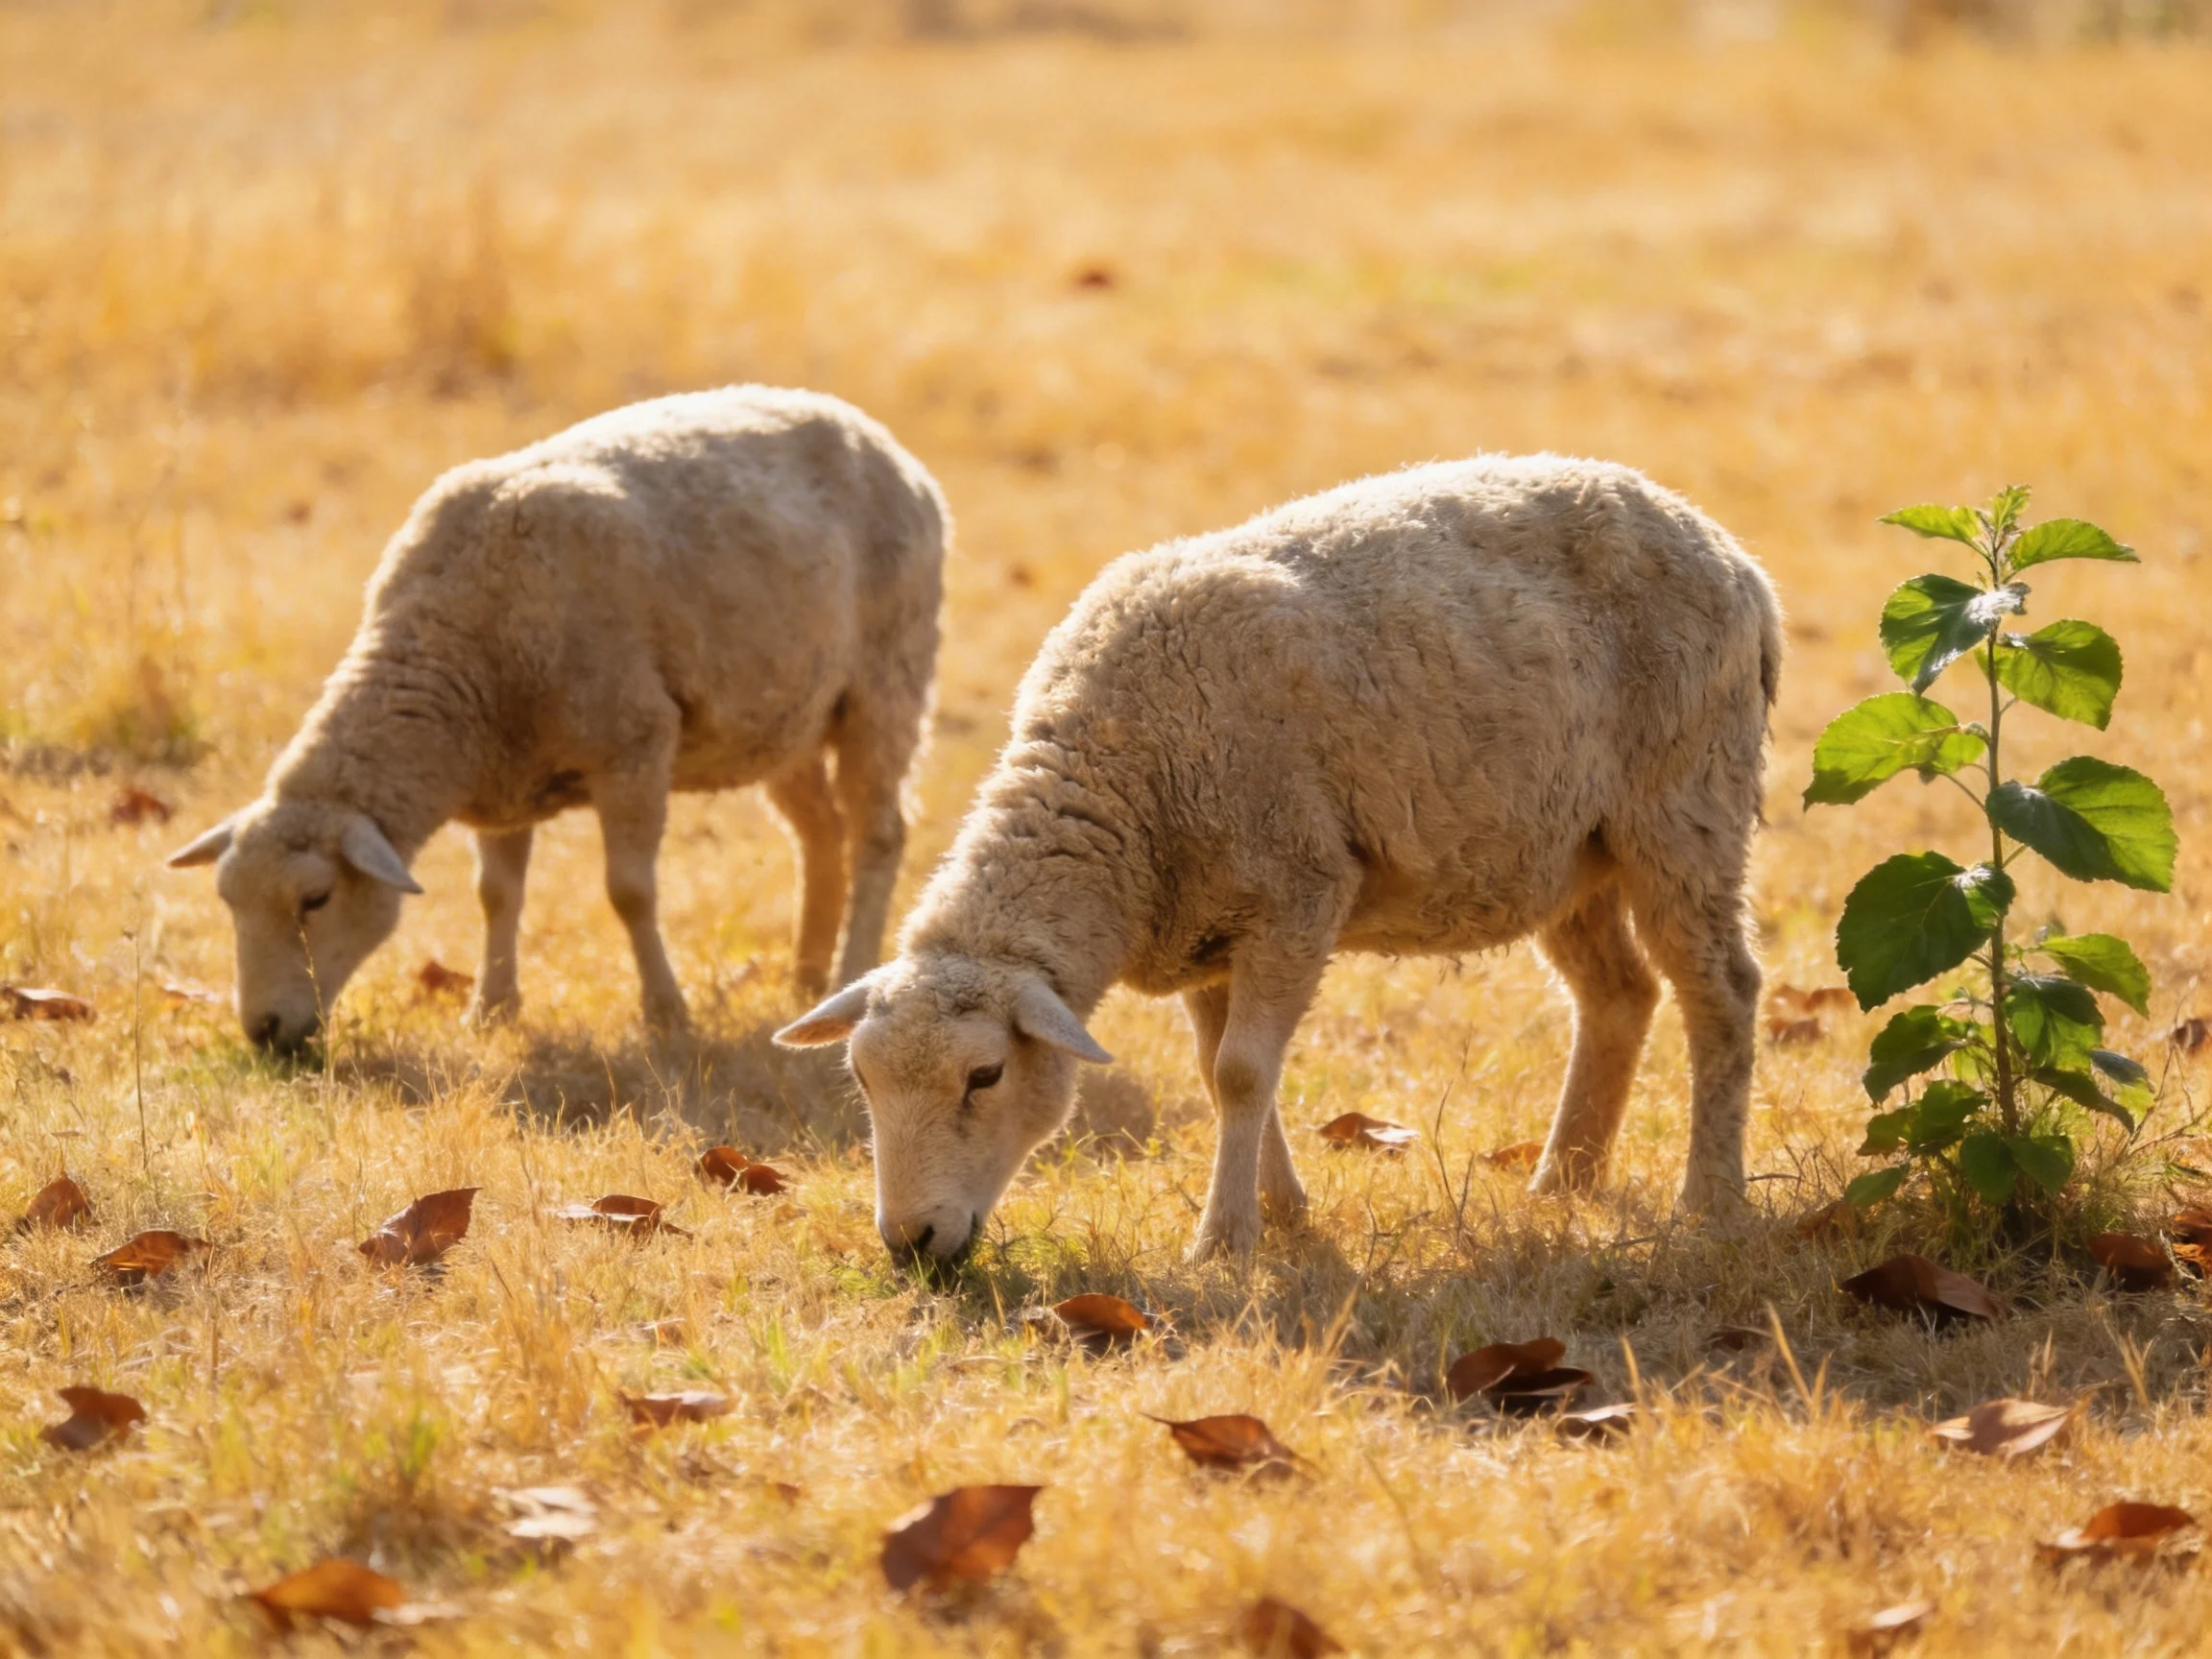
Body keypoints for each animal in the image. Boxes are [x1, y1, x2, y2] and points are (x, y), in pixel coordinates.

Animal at [169, 386, 946, 1054]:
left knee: (877, 834)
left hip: (888, 679)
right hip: (785, 718)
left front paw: (666, 1014)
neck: (457, 647)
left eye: (316, 898)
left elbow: (630, 892)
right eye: (227, 900)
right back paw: (808, 978)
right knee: (820, 836)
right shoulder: (505, 780)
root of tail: (882, 442)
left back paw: (849, 965)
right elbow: (495, 896)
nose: (264, 1032)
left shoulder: (634, 743)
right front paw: (491, 1010)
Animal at [776, 455, 1781, 1263]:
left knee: (1722, 993)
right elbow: (1216, 1069)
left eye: (984, 1077)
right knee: (1618, 994)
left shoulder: (1298, 891)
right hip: (1568, 850)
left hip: (1686, 803)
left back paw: (1709, 1199)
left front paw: (1226, 1239)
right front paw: (1284, 1210)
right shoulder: (1201, 927)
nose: (910, 1243)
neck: (1120, 788)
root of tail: (1731, 556)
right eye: (860, 1078)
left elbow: (1241, 1074)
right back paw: (1564, 1180)